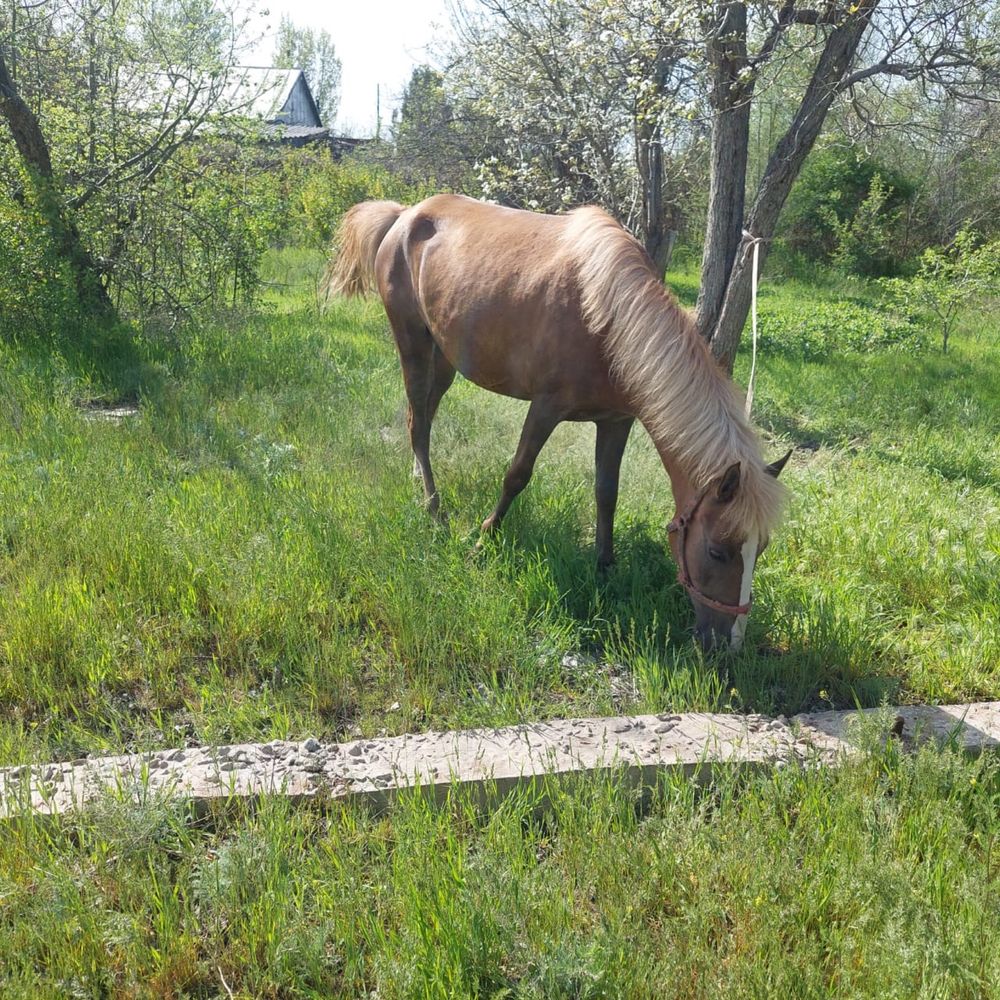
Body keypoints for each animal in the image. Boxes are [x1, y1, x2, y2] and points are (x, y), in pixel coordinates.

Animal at [324, 192, 792, 652]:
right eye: (716, 551)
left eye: (761, 550)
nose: (728, 645)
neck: (607, 318)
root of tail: (405, 215)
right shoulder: (545, 408)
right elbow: (517, 474)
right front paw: (484, 538)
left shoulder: (617, 421)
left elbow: (607, 493)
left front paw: (605, 565)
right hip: (414, 345)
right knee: (419, 423)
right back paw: (434, 507)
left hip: (446, 358)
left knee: (421, 417)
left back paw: (419, 479)